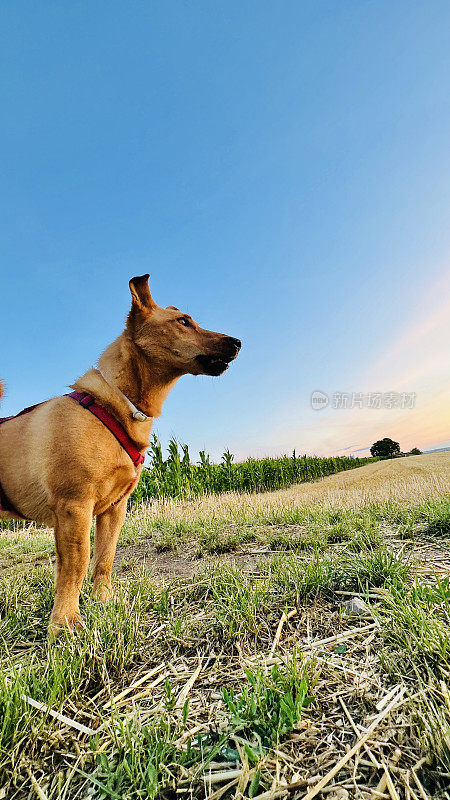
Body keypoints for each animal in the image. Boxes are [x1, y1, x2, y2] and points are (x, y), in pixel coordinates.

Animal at [0, 276, 241, 636]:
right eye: (184, 321)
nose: (238, 342)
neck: (118, 404)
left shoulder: (114, 508)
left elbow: (104, 559)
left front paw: (104, 602)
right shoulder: (74, 507)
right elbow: (75, 567)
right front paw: (65, 623)